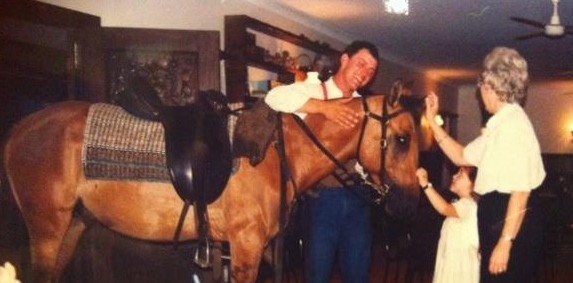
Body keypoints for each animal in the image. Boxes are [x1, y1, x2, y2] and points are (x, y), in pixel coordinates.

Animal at [2, 83, 422, 282]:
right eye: (402, 139)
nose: (409, 204)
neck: (278, 153)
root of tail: (20, 130)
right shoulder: (246, 248)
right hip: (47, 228)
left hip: (72, 225)